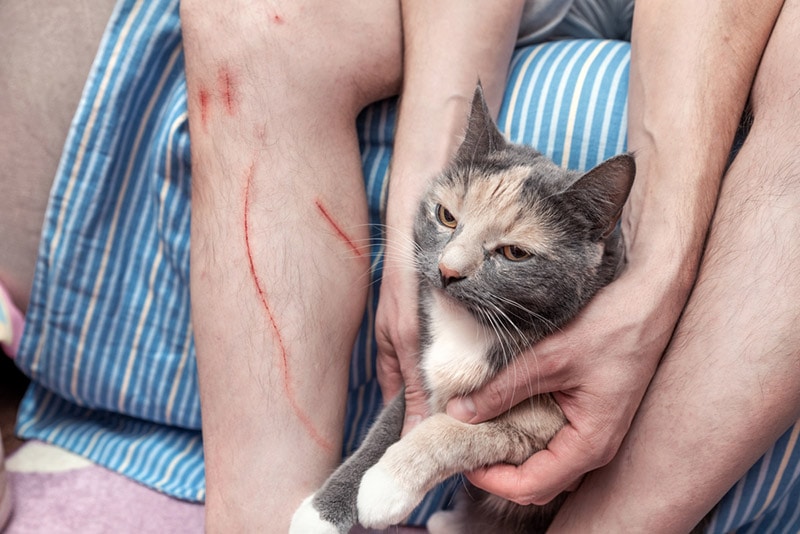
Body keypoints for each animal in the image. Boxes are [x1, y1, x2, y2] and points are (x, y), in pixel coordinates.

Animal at [290, 85, 636, 534]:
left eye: (514, 253)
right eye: (447, 217)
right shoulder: (420, 378)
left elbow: (453, 428)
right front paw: (321, 513)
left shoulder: (543, 426)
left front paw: (386, 484)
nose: (447, 270)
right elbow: (386, 426)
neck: (469, 327)